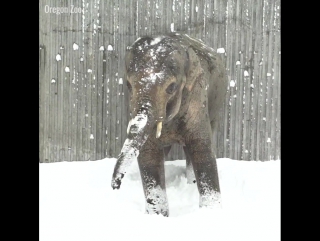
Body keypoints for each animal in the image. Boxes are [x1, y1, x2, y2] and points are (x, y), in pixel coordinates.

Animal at [111, 32, 229, 217]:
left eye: (171, 87)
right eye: (129, 85)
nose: (115, 185)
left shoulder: (197, 98)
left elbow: (202, 149)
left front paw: (211, 213)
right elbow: (149, 154)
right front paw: (157, 216)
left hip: (216, 105)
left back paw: (190, 184)